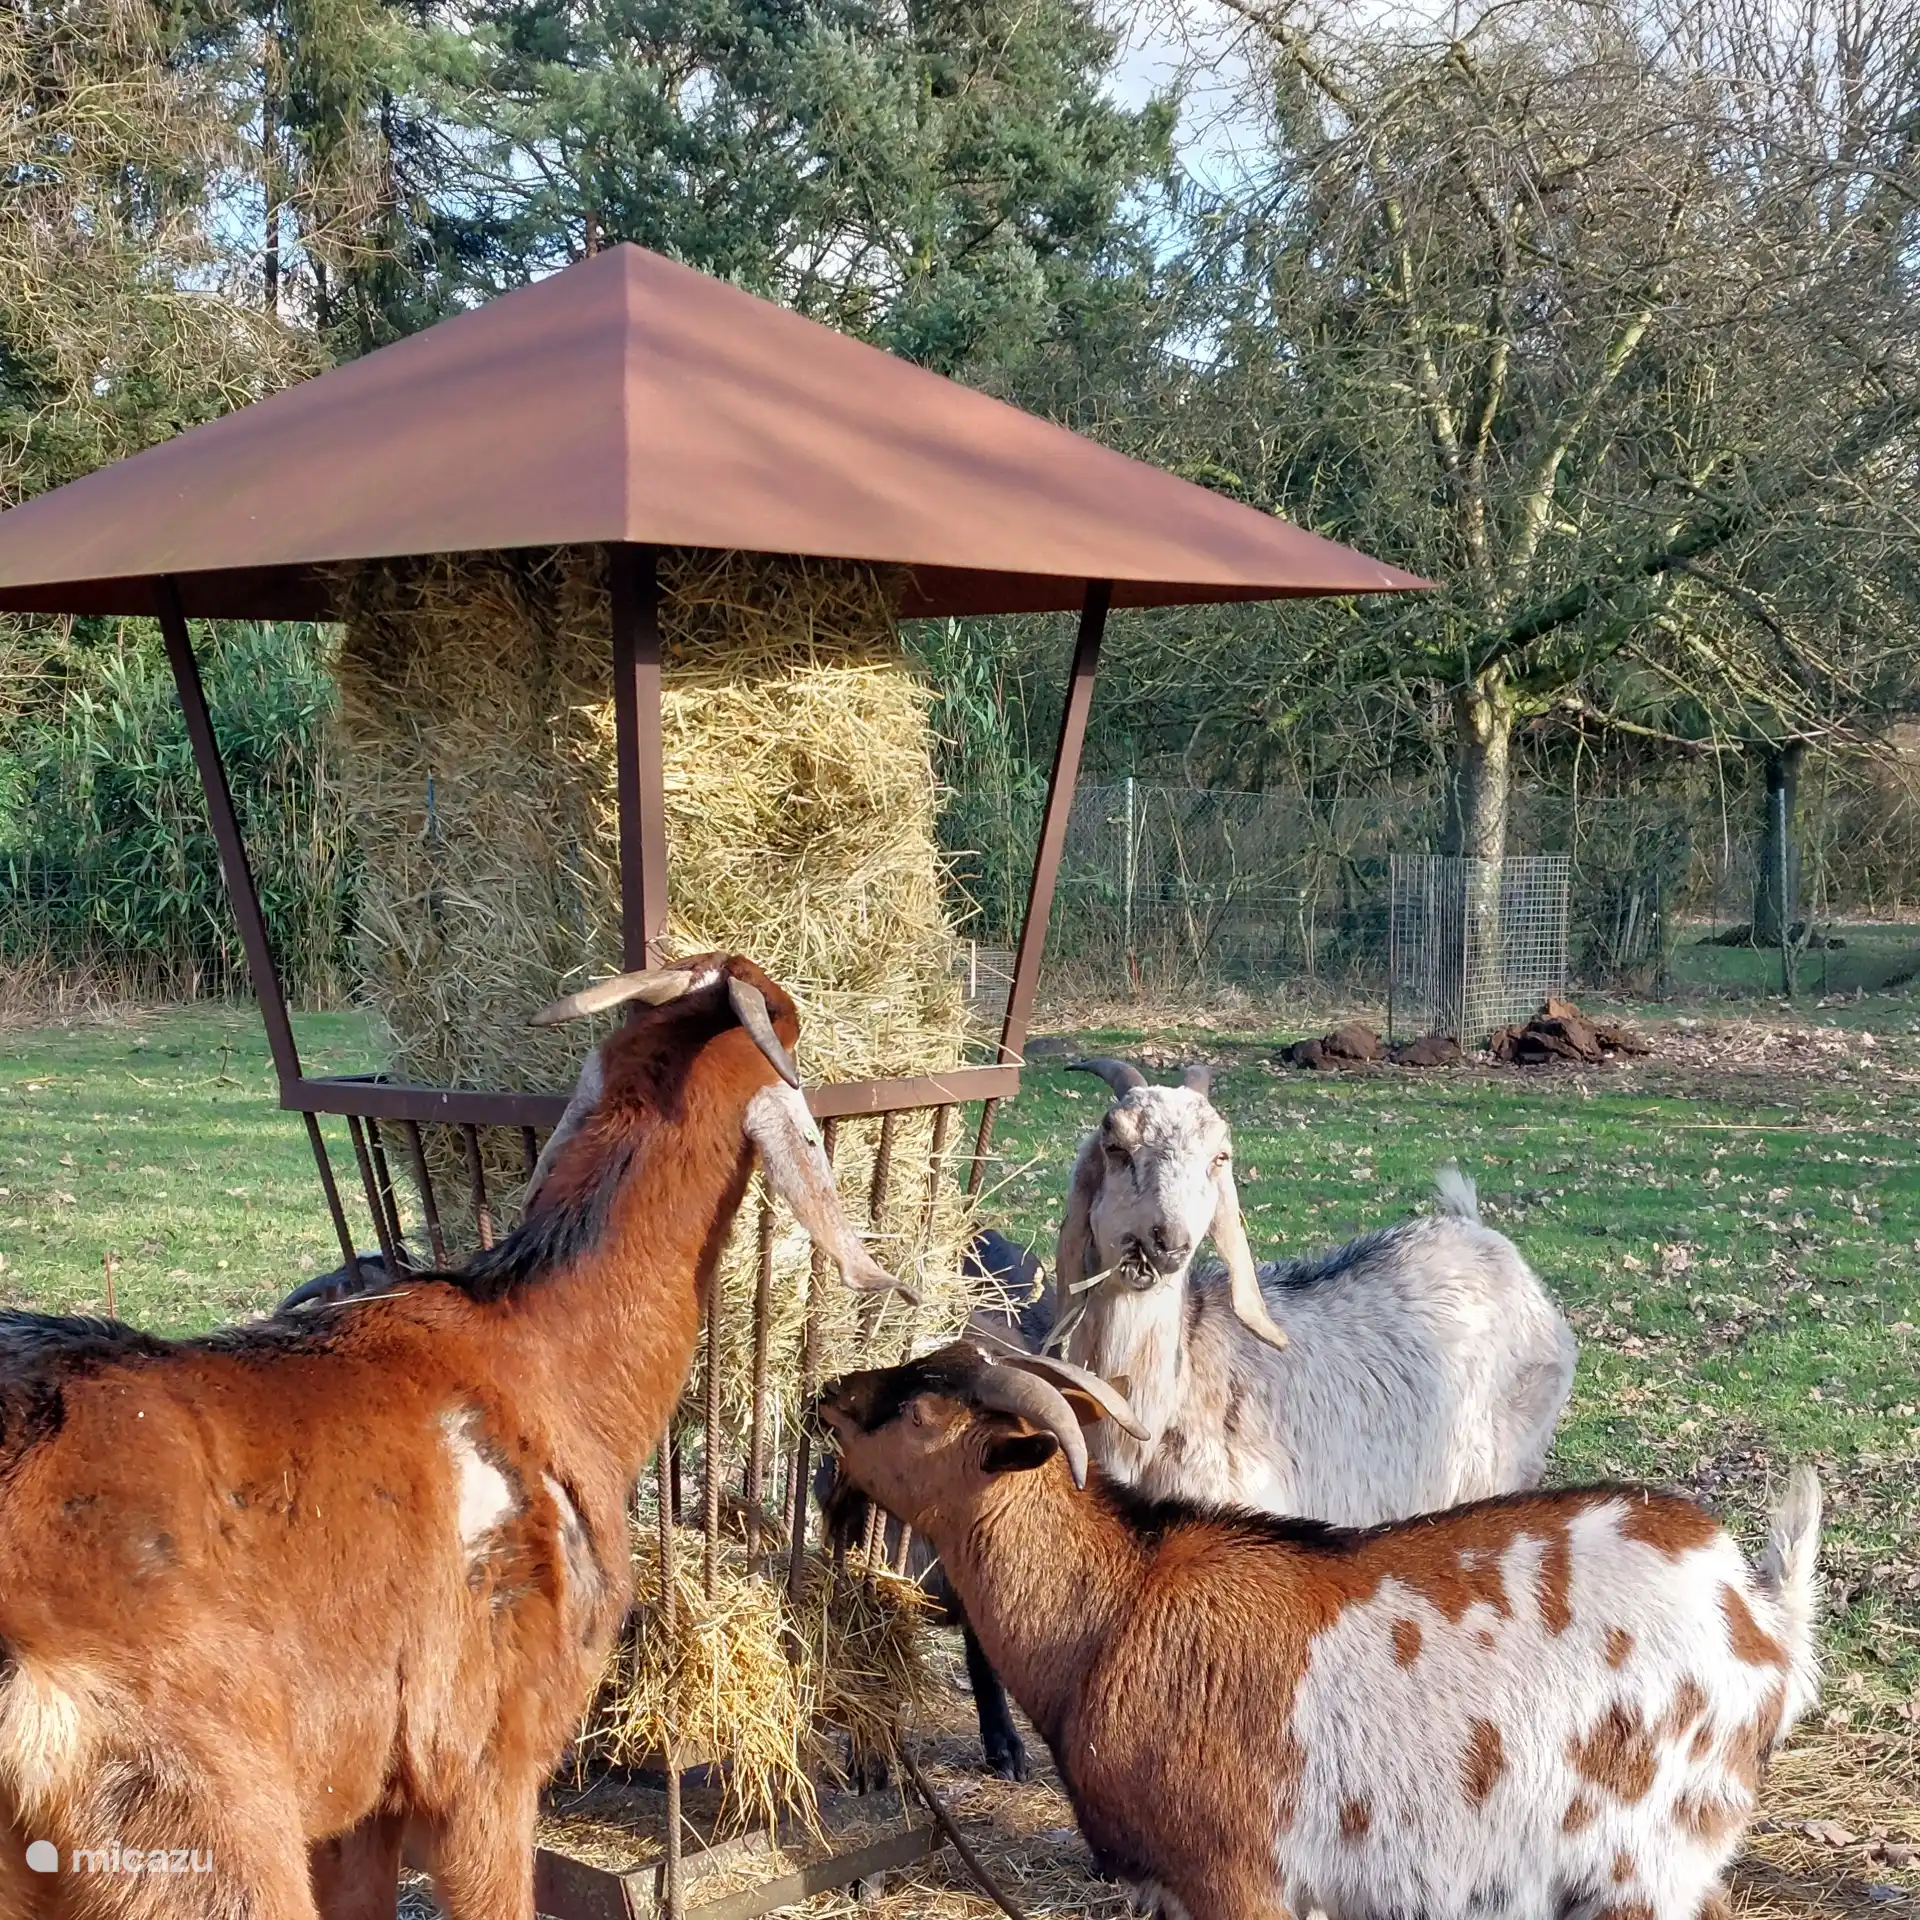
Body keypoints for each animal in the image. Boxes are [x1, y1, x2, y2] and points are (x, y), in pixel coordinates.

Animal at [818, 1339, 1823, 1920]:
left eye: (919, 1410)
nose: (827, 1391)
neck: (1111, 1612)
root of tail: (1757, 1608)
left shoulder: (1237, 1880)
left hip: (1640, 1861)